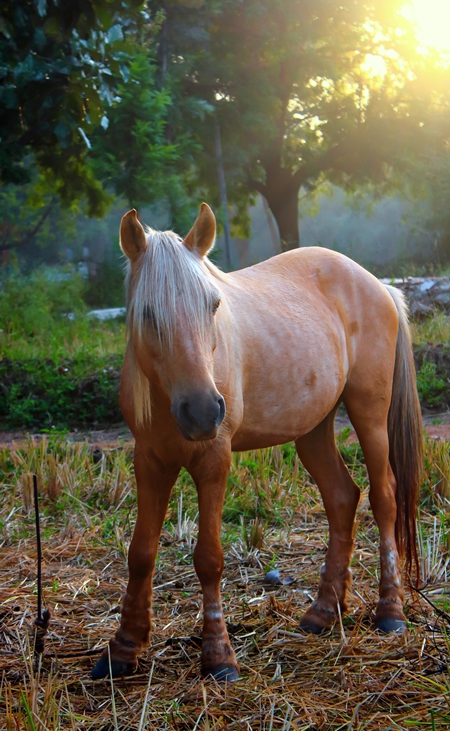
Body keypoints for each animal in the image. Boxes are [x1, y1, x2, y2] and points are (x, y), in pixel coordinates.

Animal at [91, 203, 422, 684]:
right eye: (148, 313)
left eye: (213, 305)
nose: (204, 411)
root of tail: (377, 285)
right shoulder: (149, 461)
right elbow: (141, 554)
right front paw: (123, 649)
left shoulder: (214, 461)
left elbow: (208, 558)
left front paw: (219, 657)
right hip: (313, 430)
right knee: (343, 498)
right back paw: (323, 613)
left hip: (370, 415)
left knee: (384, 498)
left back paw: (390, 612)